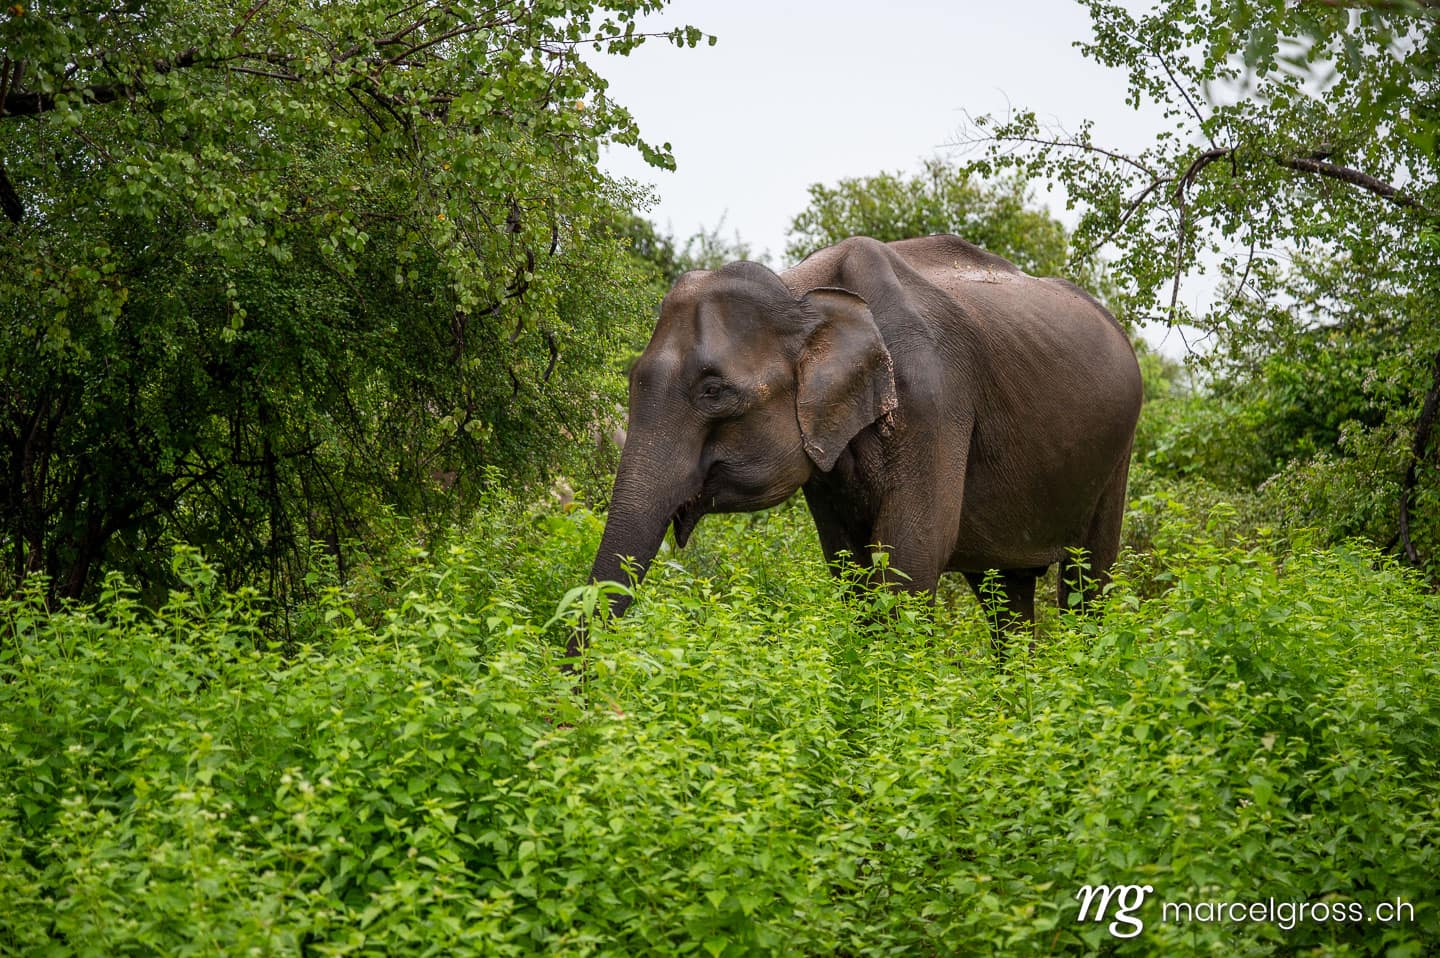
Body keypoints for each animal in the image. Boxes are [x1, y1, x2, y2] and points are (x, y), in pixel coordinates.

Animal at [573, 234, 1143, 656]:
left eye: (712, 392)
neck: (800, 290)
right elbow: (848, 564)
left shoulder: (935, 402)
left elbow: (911, 555)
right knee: (1006, 592)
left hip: (1118, 451)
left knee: (1087, 579)